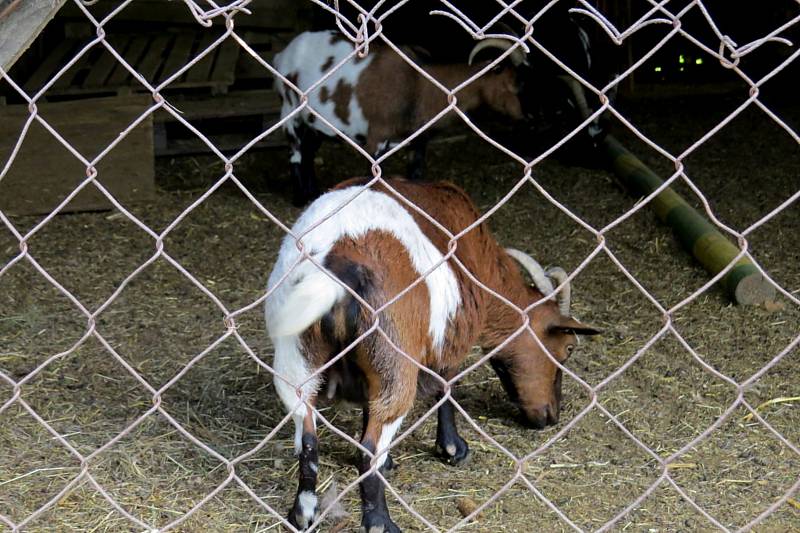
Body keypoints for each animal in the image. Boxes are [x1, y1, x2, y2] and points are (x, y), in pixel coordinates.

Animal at [266, 178, 596, 528]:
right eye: (567, 349)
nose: (550, 417)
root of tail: (338, 263)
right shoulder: (449, 340)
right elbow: (446, 388)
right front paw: (452, 448)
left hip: (297, 358)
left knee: (307, 436)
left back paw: (303, 513)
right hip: (395, 357)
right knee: (369, 449)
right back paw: (381, 523)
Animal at [272, 30, 528, 206]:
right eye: (511, 83)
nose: (524, 116)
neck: (419, 85)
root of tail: (281, 55)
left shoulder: (418, 140)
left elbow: (415, 175)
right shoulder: (376, 137)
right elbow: (375, 178)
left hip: (314, 123)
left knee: (308, 151)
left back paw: (313, 193)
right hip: (290, 109)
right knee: (296, 153)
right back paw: (300, 198)